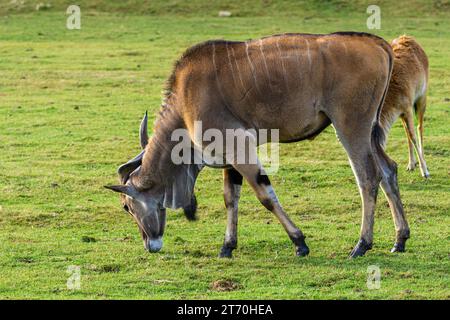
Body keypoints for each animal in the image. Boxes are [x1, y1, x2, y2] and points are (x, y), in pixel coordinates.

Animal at [107, 31, 410, 258]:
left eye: (126, 207)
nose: (150, 245)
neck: (185, 101)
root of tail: (379, 44)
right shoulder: (230, 158)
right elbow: (231, 198)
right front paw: (227, 246)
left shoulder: (240, 148)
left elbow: (265, 195)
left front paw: (300, 242)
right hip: (369, 132)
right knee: (388, 170)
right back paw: (400, 239)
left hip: (351, 126)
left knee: (368, 177)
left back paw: (361, 245)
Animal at [382, 36, 430, 179]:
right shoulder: (401, 112)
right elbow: (408, 134)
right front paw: (411, 164)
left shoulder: (408, 107)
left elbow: (413, 135)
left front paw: (425, 171)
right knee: (407, 131)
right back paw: (411, 164)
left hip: (422, 97)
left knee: (420, 127)